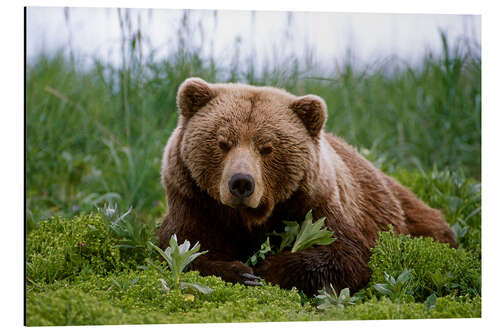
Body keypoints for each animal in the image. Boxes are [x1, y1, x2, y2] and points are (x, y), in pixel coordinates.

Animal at [158, 77, 458, 296]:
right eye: (223, 143)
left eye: (267, 148)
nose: (241, 182)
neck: (249, 217)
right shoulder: (194, 201)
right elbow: (182, 247)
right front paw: (240, 272)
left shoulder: (314, 201)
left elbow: (345, 254)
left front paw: (266, 269)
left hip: (406, 214)